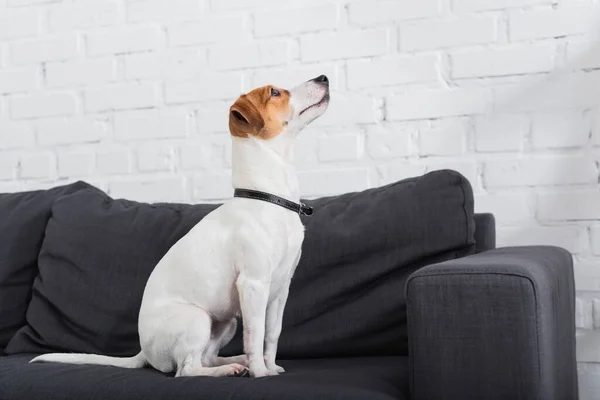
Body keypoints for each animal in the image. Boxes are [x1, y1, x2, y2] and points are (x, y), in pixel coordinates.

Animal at [30, 75, 330, 378]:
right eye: (275, 93)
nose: (323, 77)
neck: (268, 197)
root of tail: (144, 351)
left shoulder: (280, 290)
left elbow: (271, 335)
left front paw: (270, 366)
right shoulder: (254, 284)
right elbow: (255, 335)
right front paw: (260, 371)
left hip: (225, 322)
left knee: (206, 357)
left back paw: (235, 361)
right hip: (197, 319)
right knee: (187, 369)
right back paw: (231, 367)